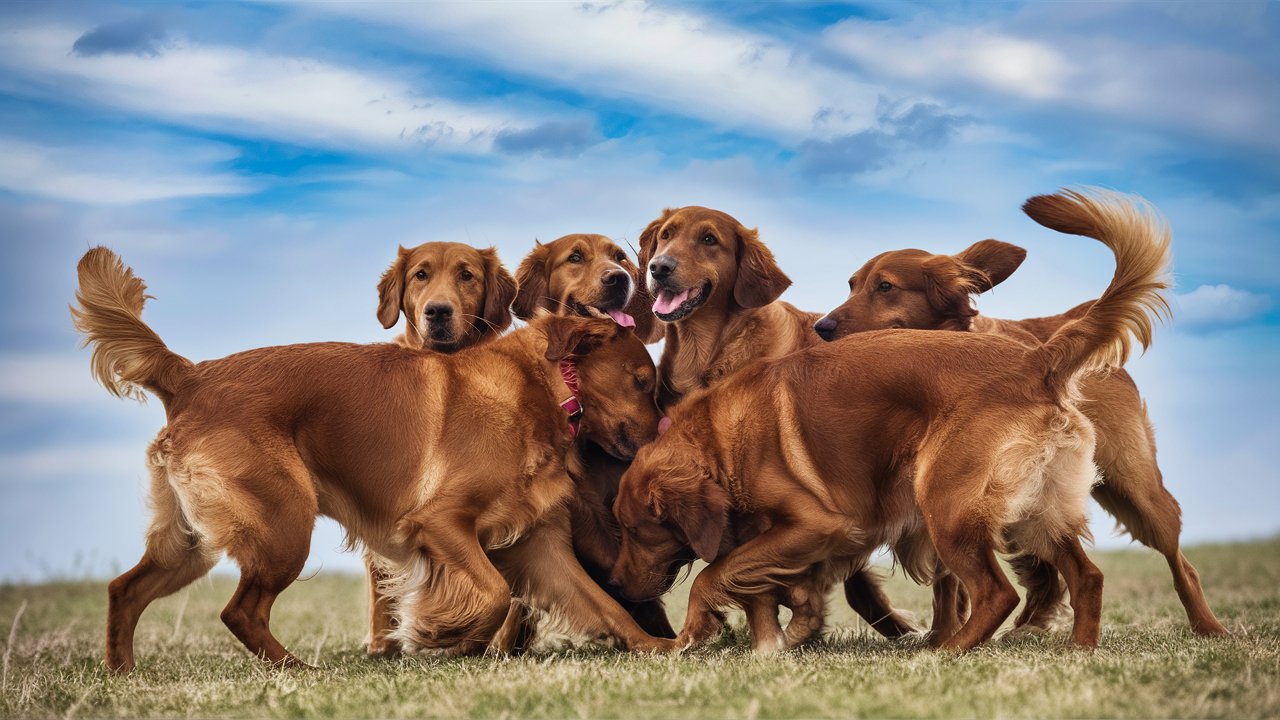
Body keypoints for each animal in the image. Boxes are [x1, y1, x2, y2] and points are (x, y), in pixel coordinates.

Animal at [814, 211, 1223, 632]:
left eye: (885, 286)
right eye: (851, 285)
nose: (822, 327)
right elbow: (948, 581)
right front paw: (941, 631)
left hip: (1133, 487)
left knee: (1180, 561)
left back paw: (1209, 626)